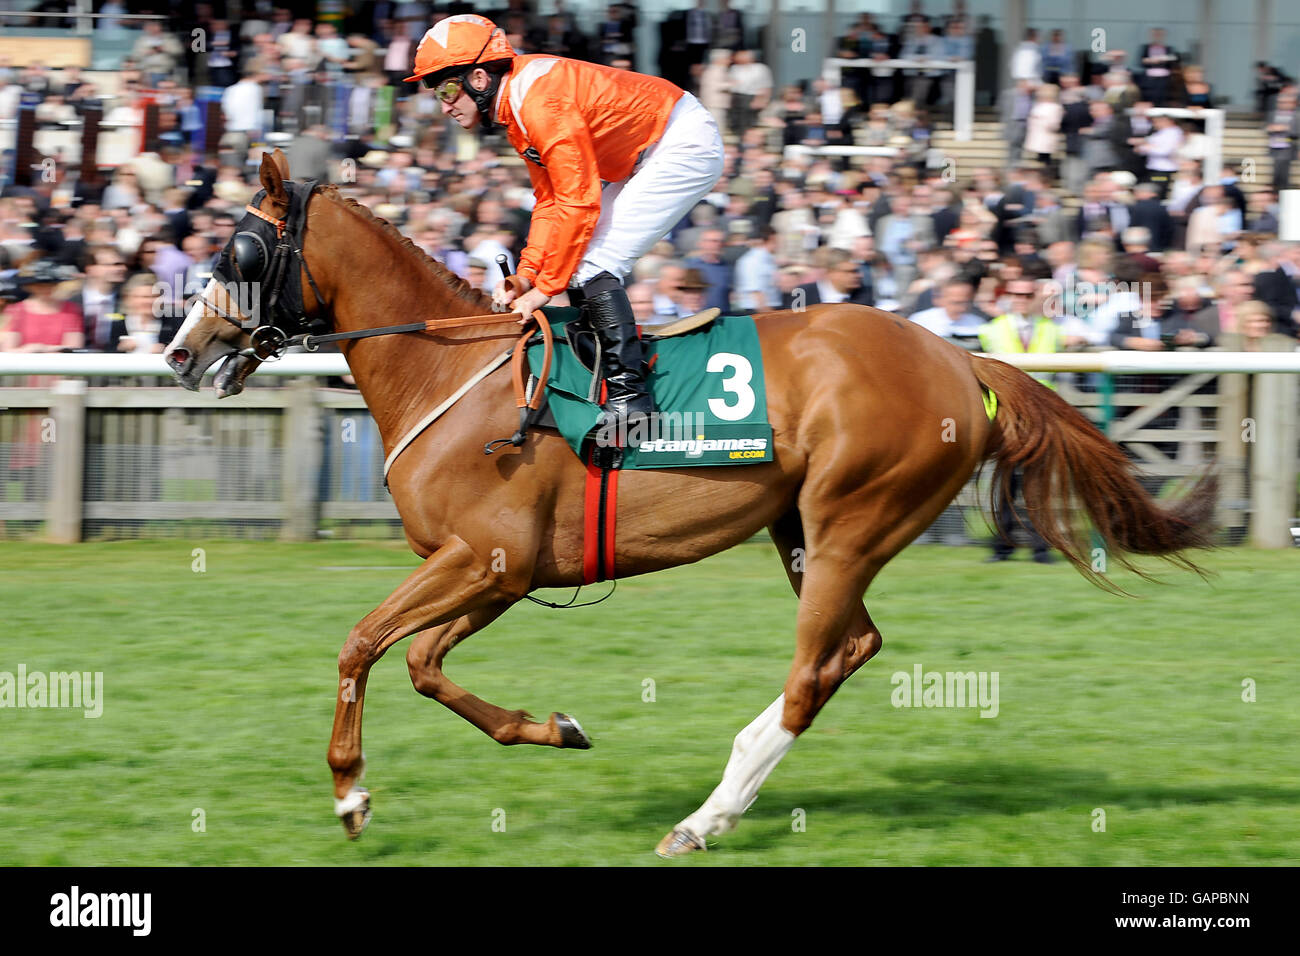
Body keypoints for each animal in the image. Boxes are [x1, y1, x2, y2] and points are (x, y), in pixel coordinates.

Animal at [165, 153, 1216, 858]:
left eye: (239, 248)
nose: (181, 350)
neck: (449, 372)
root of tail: (961, 358)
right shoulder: (500, 571)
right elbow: (423, 664)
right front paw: (555, 728)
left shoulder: (484, 557)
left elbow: (360, 645)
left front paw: (350, 795)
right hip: (803, 529)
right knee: (853, 647)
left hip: (852, 518)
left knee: (810, 671)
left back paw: (704, 817)